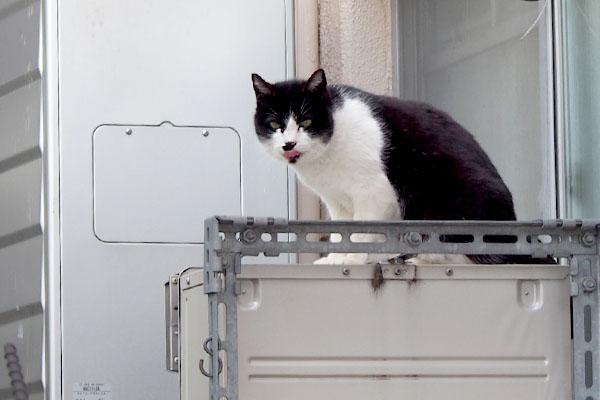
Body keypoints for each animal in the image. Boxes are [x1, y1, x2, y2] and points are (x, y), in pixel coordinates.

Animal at [251, 70, 536, 268]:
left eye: (306, 121)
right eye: (275, 124)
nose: (289, 144)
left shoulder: (375, 192)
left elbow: (360, 233)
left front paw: (352, 259)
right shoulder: (337, 201)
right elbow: (340, 233)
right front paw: (335, 257)